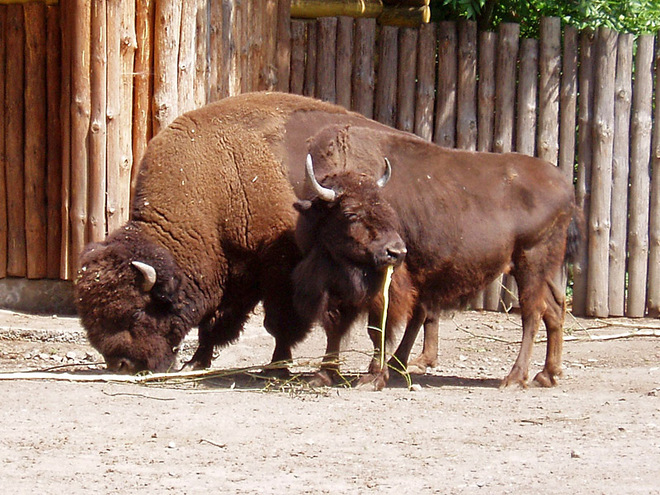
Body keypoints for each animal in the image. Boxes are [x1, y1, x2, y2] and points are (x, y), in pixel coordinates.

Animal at [304, 125, 576, 392]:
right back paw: (547, 375)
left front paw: (373, 378)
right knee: (555, 307)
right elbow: (335, 325)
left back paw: (514, 379)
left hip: (530, 261)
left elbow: (379, 326)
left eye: (387, 208)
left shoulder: (388, 283)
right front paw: (324, 374)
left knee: (533, 311)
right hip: (541, 269)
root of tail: (564, 184)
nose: (396, 251)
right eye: (350, 213)